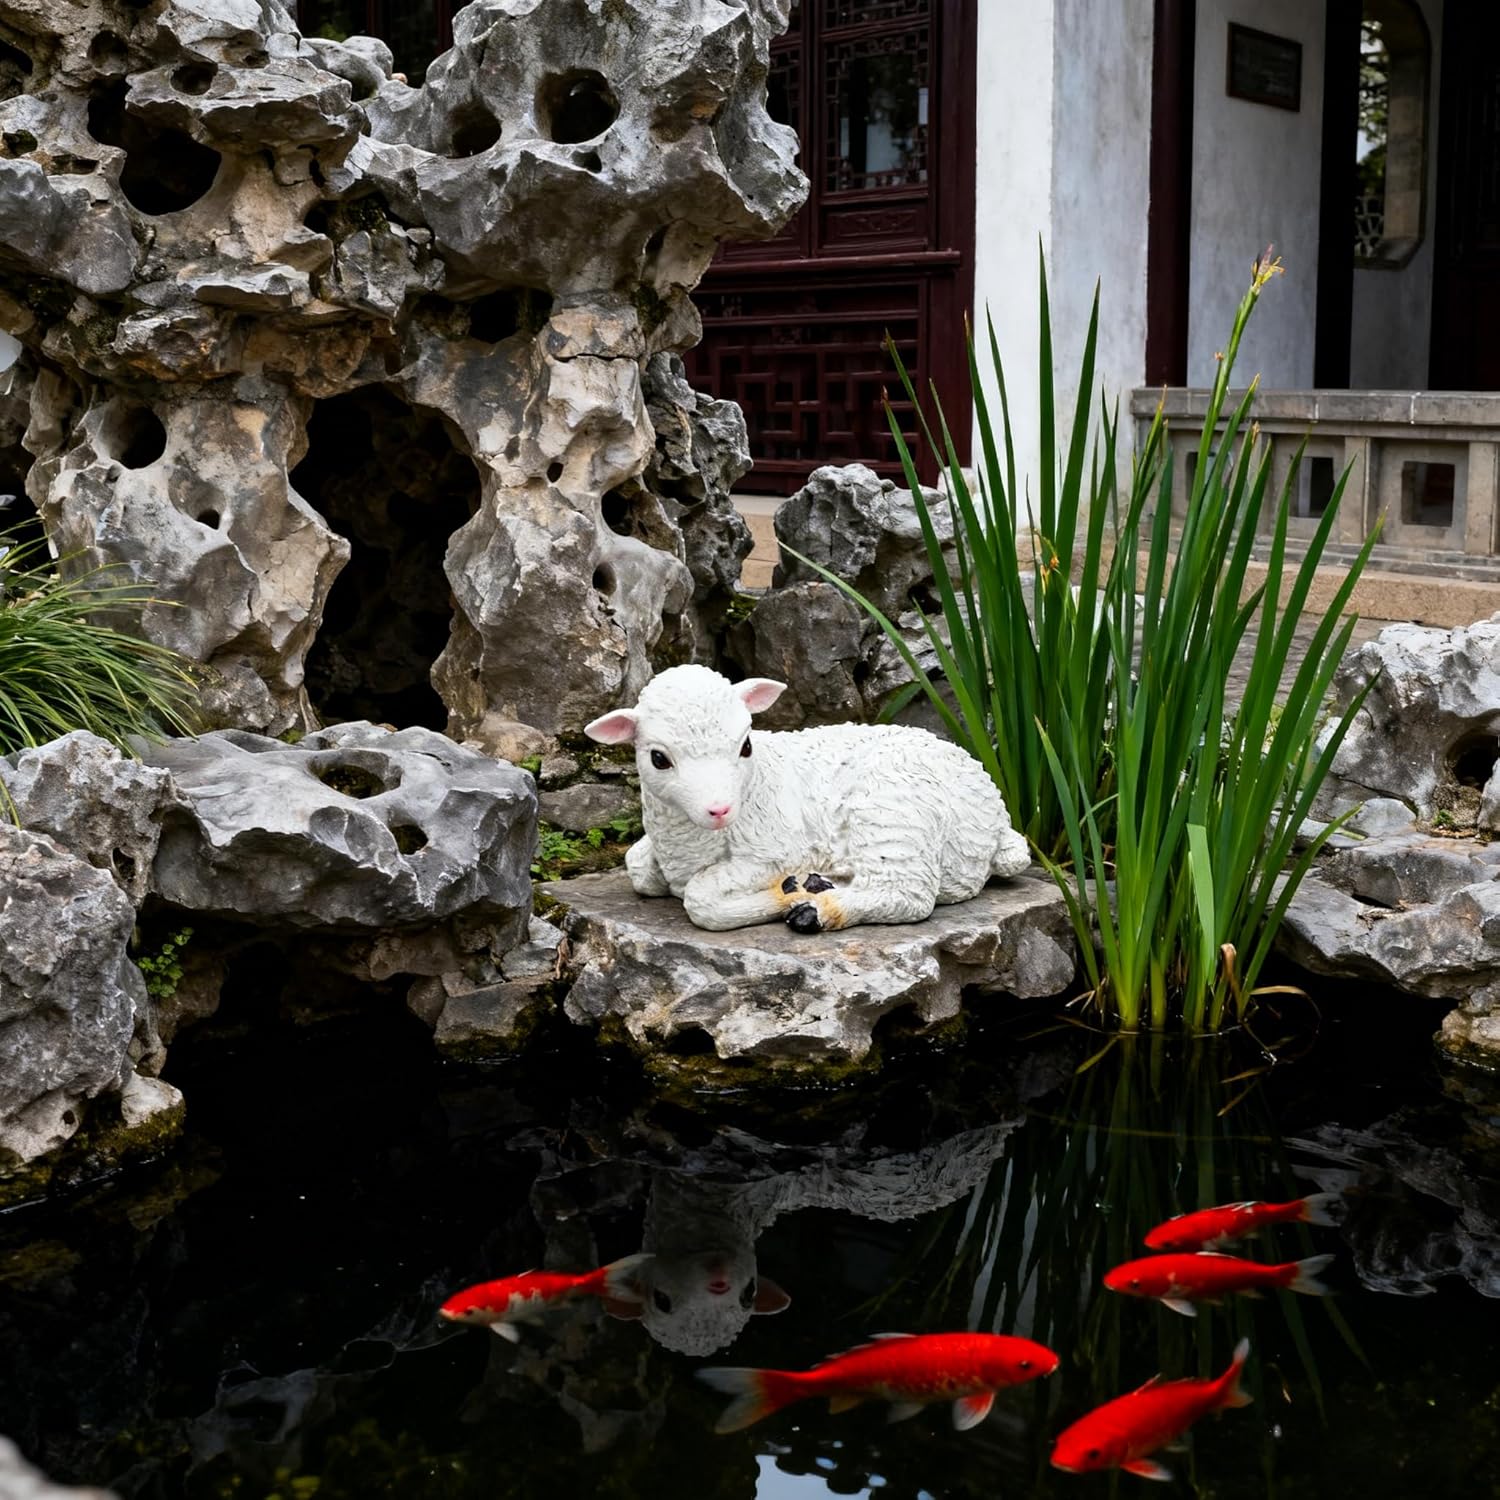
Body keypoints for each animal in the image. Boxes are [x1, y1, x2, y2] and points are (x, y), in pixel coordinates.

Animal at [583, 664, 1031, 933]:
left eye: (746, 745)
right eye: (658, 758)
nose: (720, 809)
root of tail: (997, 814)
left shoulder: (773, 850)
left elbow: (698, 899)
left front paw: (784, 895)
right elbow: (637, 865)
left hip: (894, 814)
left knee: (909, 895)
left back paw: (815, 908)